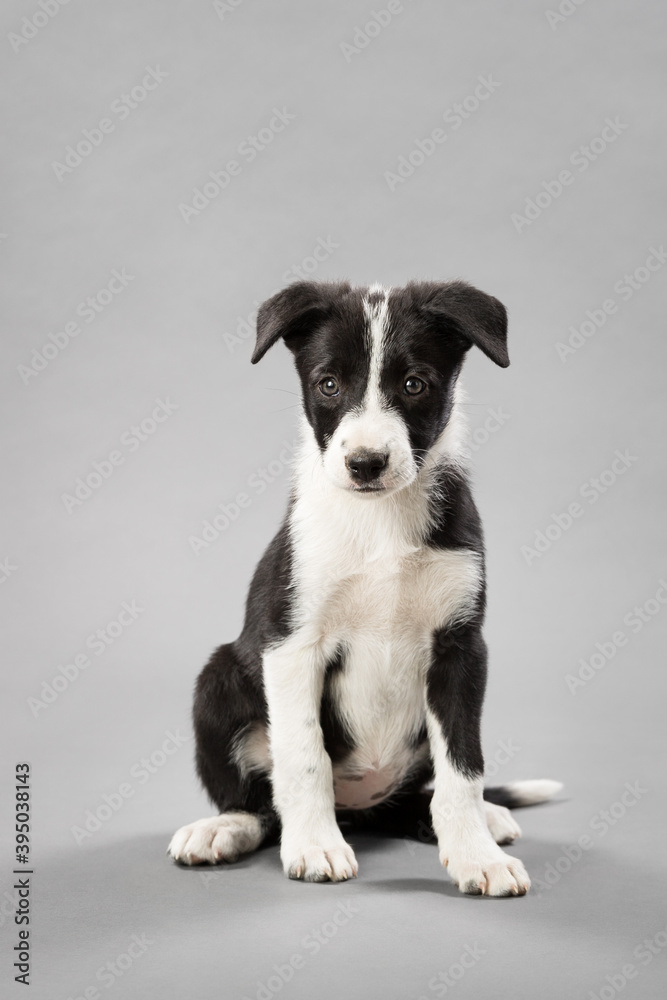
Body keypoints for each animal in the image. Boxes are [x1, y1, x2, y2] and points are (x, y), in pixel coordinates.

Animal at [170, 278, 560, 896]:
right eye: (328, 384)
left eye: (414, 383)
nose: (366, 462)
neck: (380, 522)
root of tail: (359, 809)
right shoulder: (291, 644)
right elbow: (304, 757)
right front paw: (314, 848)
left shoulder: (461, 649)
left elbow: (463, 768)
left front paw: (476, 855)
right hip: (219, 677)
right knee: (259, 802)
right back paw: (224, 828)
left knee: (411, 802)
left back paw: (484, 818)